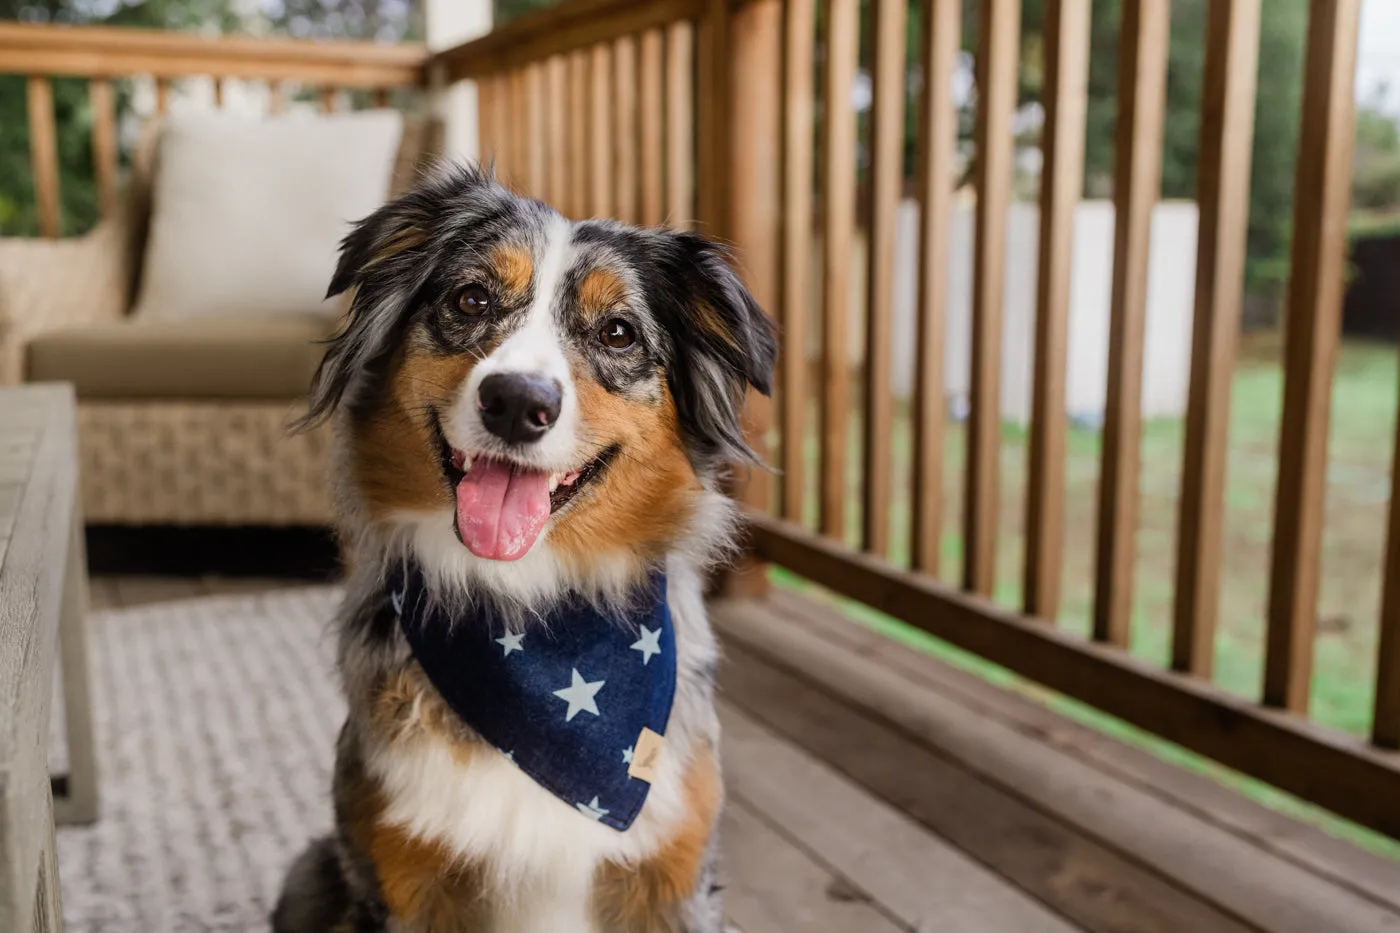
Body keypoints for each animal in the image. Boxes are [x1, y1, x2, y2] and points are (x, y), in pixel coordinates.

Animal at [271, 167, 778, 930]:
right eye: (471, 298)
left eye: (618, 332)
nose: (516, 402)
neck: (533, 607)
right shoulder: (401, 875)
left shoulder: (672, 876)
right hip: (307, 877)